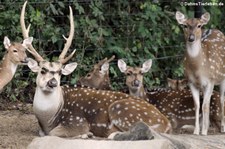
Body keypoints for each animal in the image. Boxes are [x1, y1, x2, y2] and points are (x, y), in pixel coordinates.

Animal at [22, 1, 171, 137]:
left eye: (60, 73)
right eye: (42, 70)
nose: (53, 83)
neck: (47, 119)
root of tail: (166, 123)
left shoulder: (77, 121)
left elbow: (54, 133)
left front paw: (85, 134)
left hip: (120, 110)